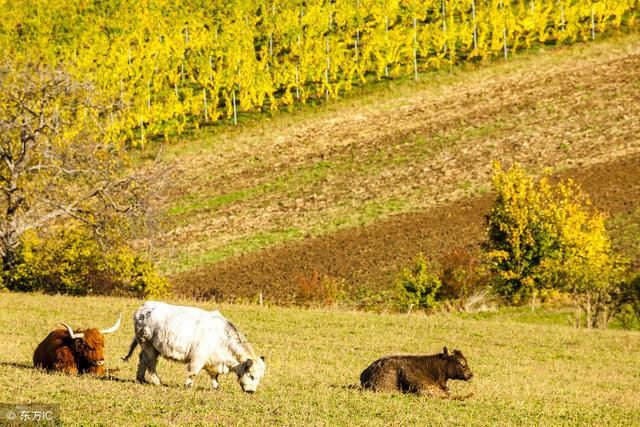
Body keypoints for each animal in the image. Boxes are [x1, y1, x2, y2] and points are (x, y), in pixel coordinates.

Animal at [122, 302, 264, 392]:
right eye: (251, 376)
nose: (251, 391)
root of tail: (144, 307)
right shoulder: (198, 358)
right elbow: (193, 372)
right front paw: (188, 386)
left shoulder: (212, 360)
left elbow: (214, 375)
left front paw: (216, 387)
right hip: (148, 345)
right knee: (151, 364)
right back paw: (157, 382)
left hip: (148, 347)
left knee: (142, 359)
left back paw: (140, 379)